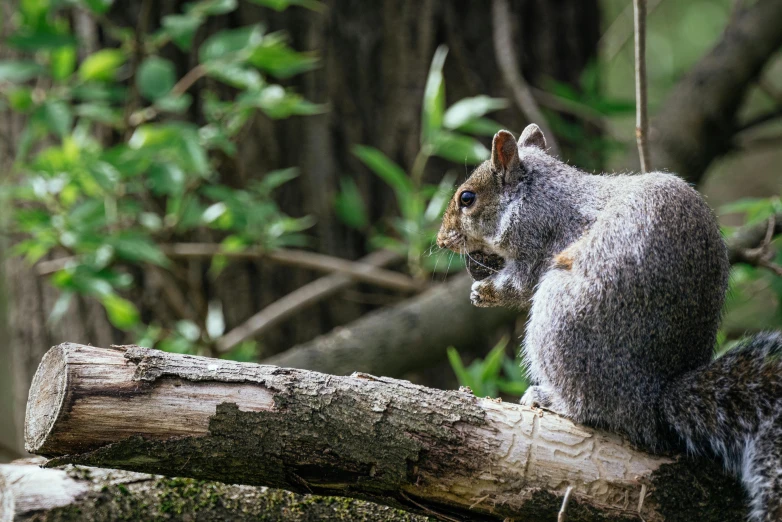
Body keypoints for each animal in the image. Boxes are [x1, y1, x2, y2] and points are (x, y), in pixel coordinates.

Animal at [438, 125, 780, 520]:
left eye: (467, 198)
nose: (440, 239)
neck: (536, 191)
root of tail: (650, 400)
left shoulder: (536, 237)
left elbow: (519, 285)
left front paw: (484, 292)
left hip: (557, 319)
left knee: (589, 410)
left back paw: (548, 398)